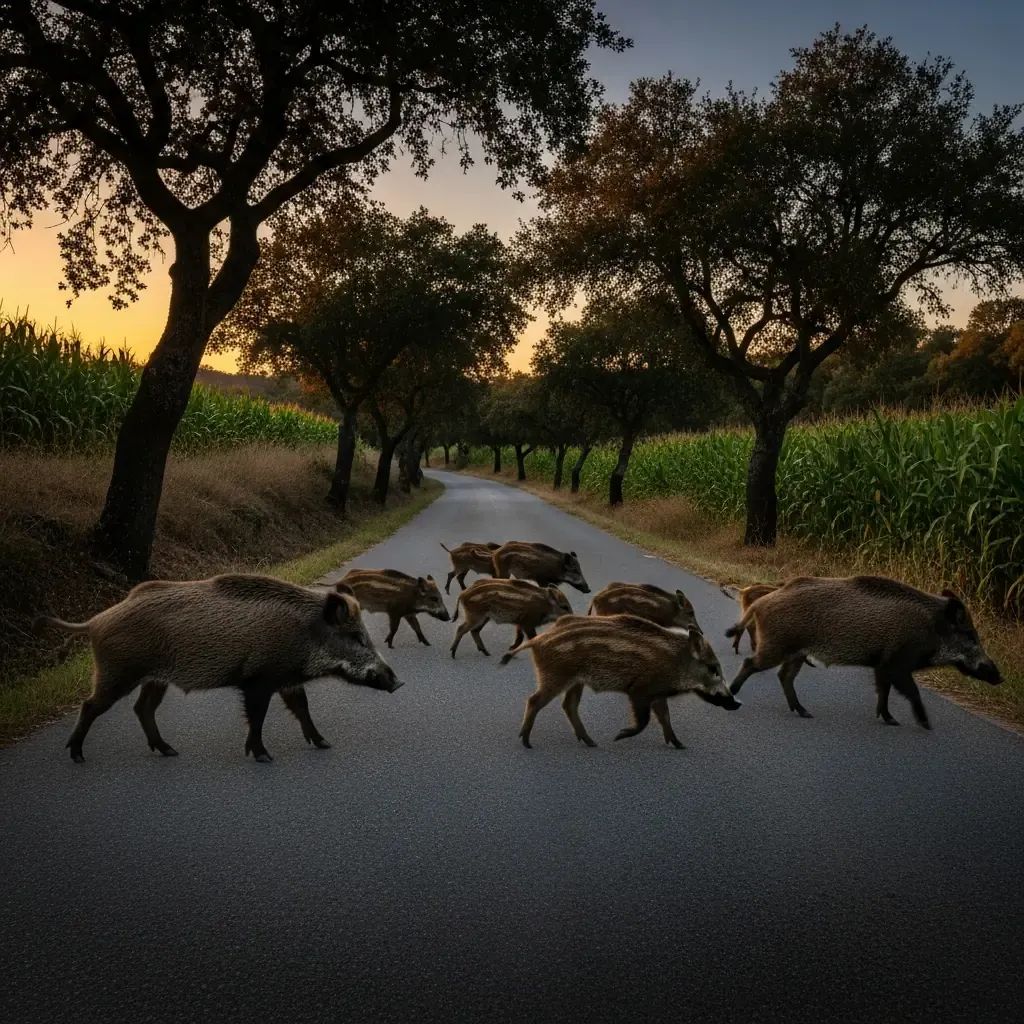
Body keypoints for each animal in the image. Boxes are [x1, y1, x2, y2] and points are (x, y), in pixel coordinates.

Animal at [34, 574, 398, 764]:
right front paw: (263, 756)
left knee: (143, 708)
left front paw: (324, 744)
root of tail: (95, 621)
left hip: (156, 678)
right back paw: (77, 756)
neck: (306, 632)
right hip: (118, 672)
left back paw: (169, 750)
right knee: (91, 705)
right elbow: (258, 716)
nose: (398, 682)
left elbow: (302, 708)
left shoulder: (286, 679)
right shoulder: (259, 680)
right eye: (356, 637)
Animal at [501, 613, 741, 749]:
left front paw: (680, 745)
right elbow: (644, 720)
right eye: (713, 669)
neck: (676, 661)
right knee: (535, 700)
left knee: (569, 705)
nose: (737, 702)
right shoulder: (640, 691)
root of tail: (538, 640)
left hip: (575, 681)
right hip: (556, 677)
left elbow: (665, 717)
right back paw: (526, 742)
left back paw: (591, 742)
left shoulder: (657, 693)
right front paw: (619, 736)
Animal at [725, 575, 1002, 727]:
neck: (931, 628)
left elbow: (884, 689)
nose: (999, 676)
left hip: (796, 652)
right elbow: (909, 691)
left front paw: (889, 719)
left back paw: (805, 712)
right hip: (778, 646)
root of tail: (761, 603)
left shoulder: (882, 664)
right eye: (970, 636)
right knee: (751, 663)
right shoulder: (896, 662)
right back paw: (734, 693)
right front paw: (925, 725)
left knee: (784, 676)